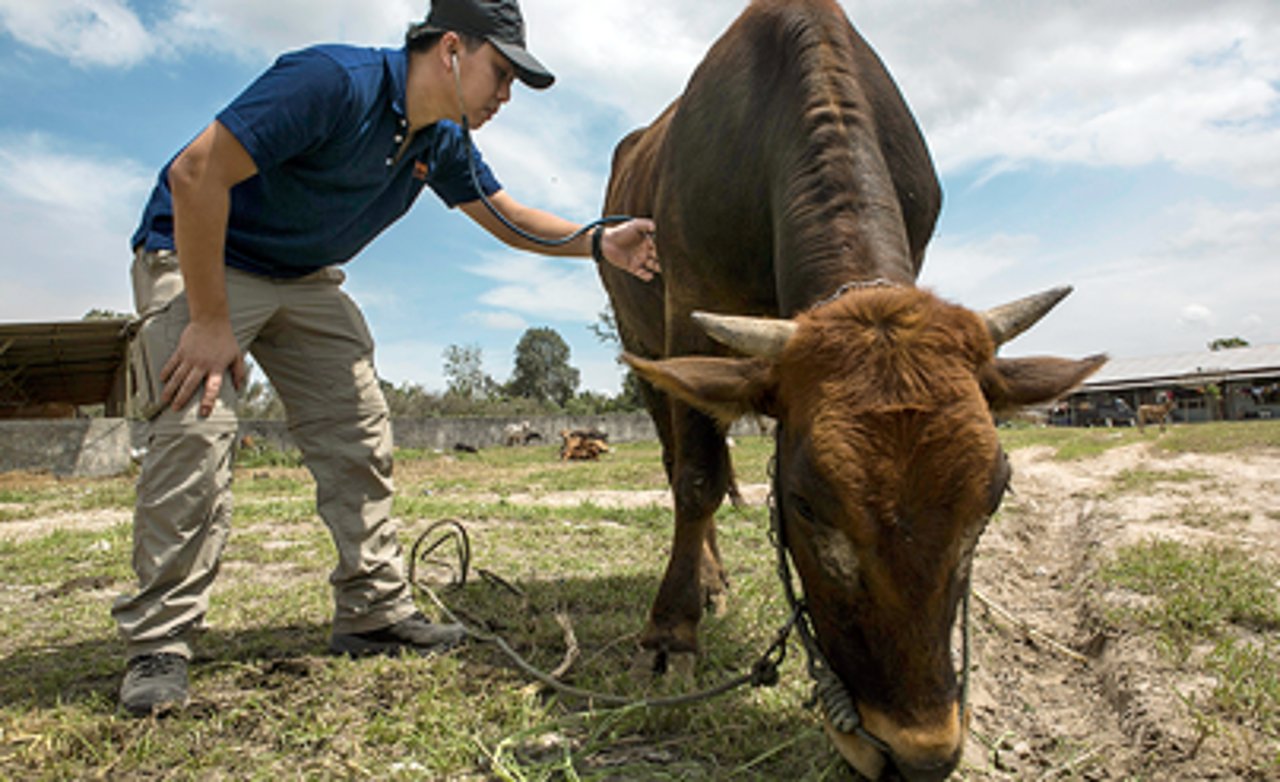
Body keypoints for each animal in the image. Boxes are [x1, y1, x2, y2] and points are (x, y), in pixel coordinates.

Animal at [593, 3, 1105, 778]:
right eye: (803, 503)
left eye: (993, 498)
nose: (917, 754)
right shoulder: (687, 313)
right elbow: (698, 480)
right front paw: (669, 634)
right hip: (644, 344)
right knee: (677, 460)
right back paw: (704, 582)